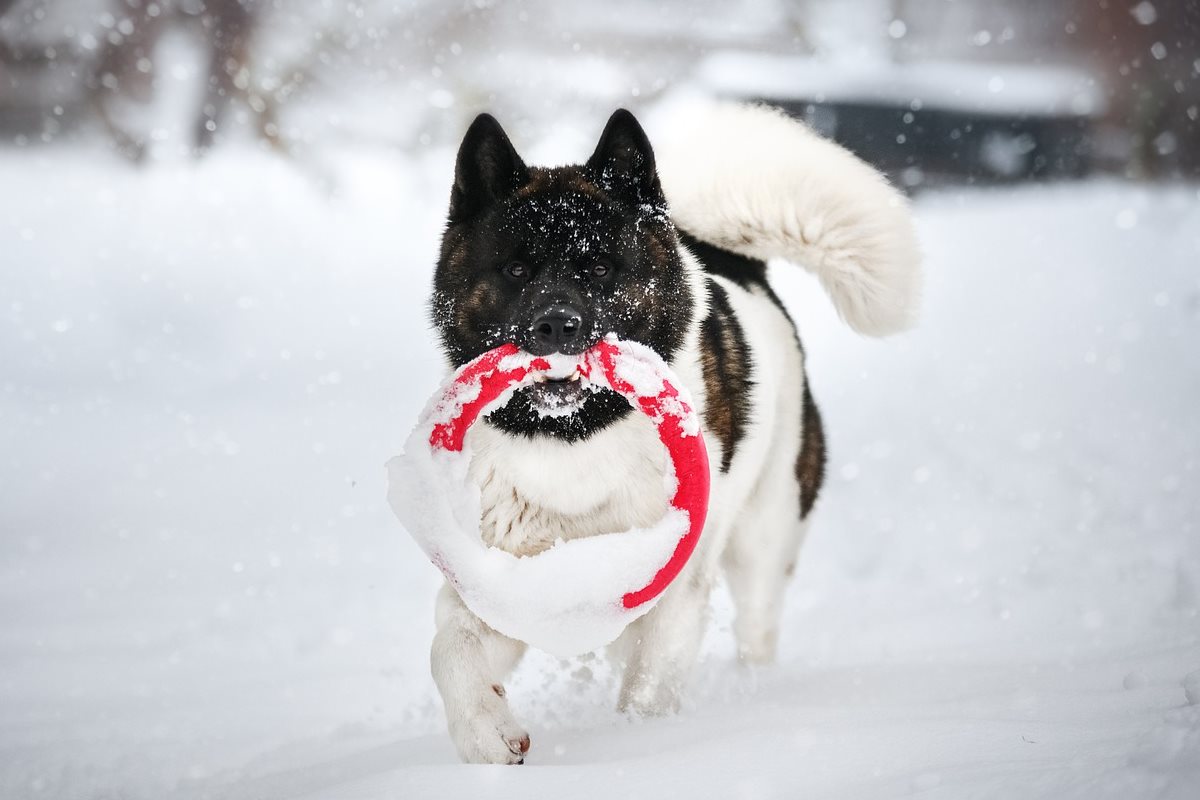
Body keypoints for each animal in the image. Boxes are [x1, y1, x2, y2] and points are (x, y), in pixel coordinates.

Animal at [422, 103, 916, 767]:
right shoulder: (501, 575)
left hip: (766, 533)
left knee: (758, 624)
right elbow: (452, 647)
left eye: (599, 267)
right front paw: (486, 735)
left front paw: (644, 749)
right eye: (517, 269)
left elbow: (649, 690)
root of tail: (736, 261)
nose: (556, 325)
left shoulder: (675, 593)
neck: (575, 440)